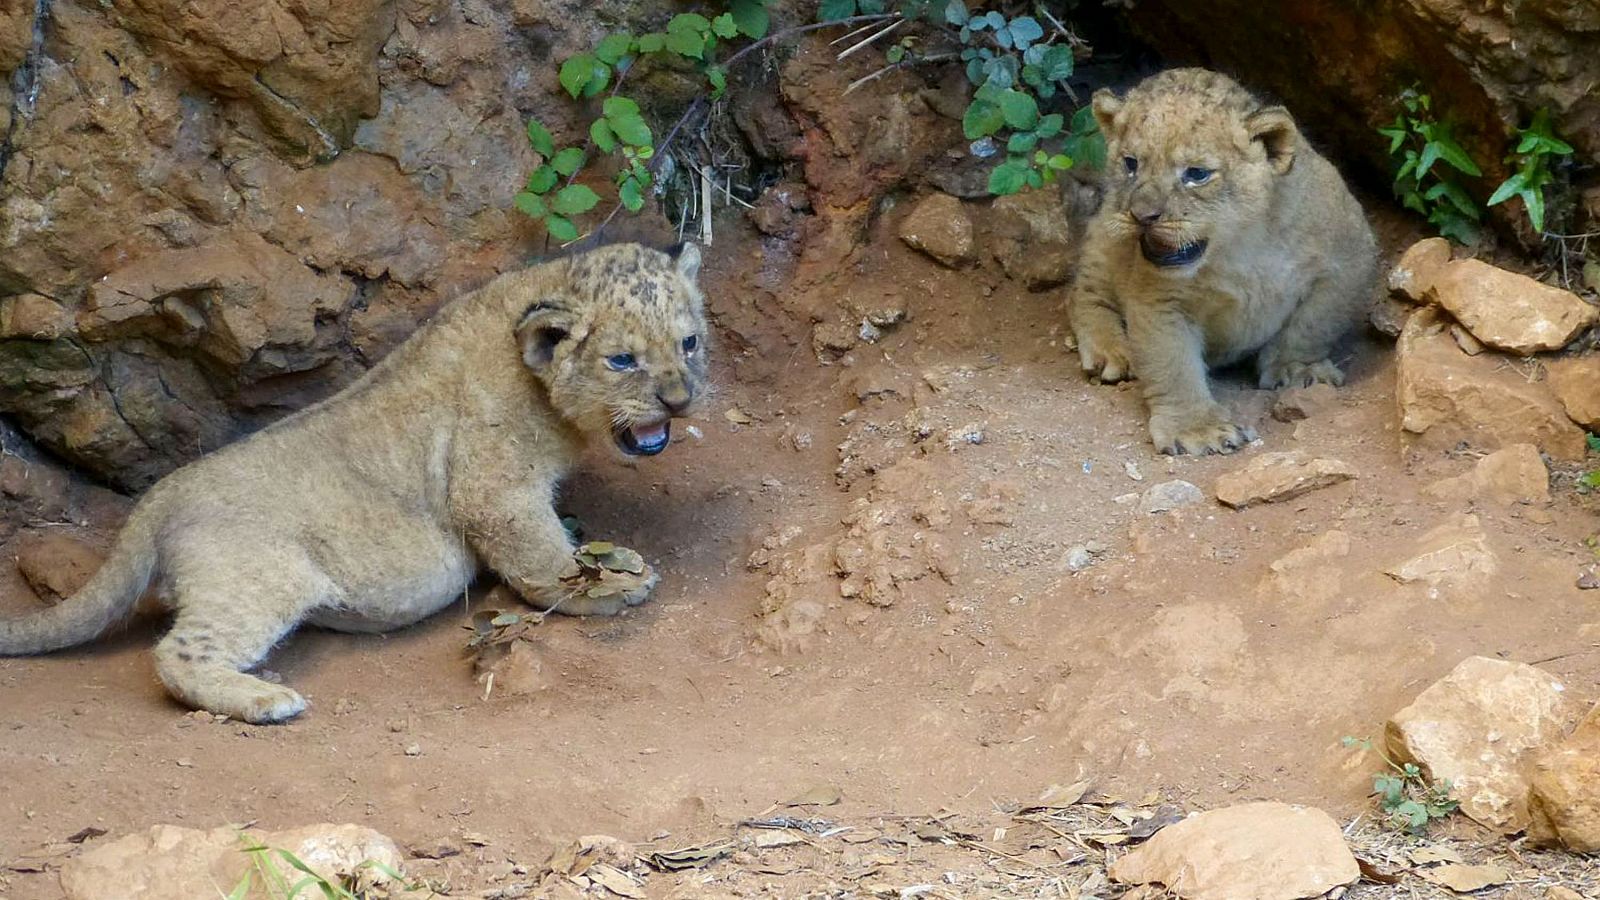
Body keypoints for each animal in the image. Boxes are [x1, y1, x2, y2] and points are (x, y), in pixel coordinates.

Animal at [0, 242, 709, 723]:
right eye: (622, 360)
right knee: (177, 653)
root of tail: (156, 498)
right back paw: (266, 699)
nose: (679, 400)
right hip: (260, 577)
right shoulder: (493, 488)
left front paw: (606, 558)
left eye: (690, 343)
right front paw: (605, 588)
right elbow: (542, 561)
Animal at [1068, 68, 1377, 455]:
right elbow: (1173, 363)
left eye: (1197, 174)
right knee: (1083, 292)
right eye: (1131, 164)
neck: (1239, 246)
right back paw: (1111, 351)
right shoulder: (1159, 298)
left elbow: (1313, 324)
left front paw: (1298, 370)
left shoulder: (1350, 257)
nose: (1142, 215)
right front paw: (1196, 428)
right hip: (1105, 234)